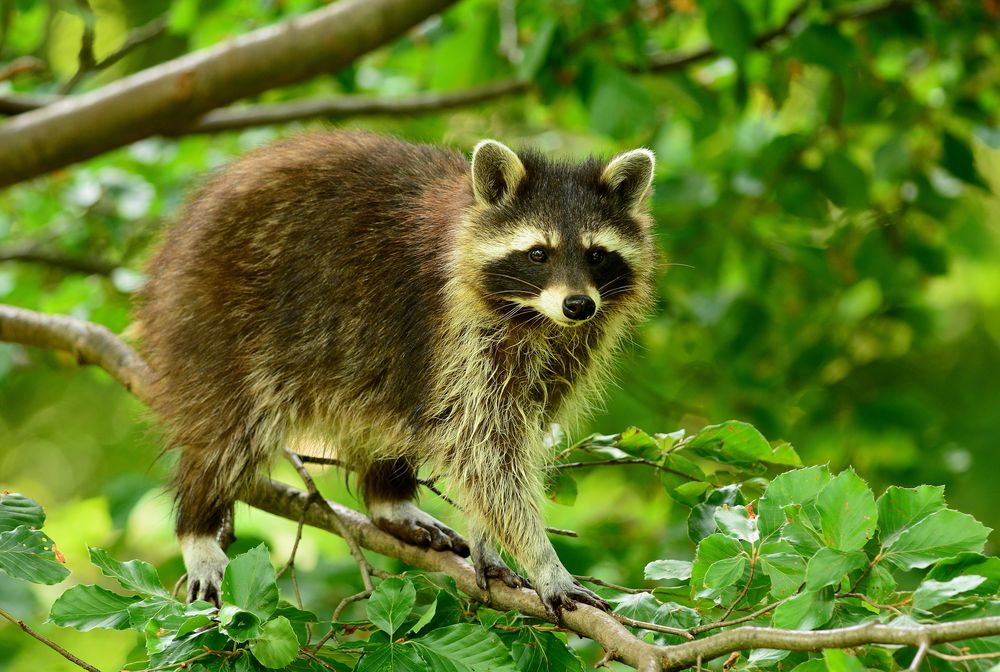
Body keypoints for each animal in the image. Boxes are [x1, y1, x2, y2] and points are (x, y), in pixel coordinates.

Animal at [139, 130, 656, 620]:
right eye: (538, 254)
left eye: (596, 254)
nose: (578, 305)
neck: (535, 316)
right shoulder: (459, 326)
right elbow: (482, 446)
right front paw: (544, 562)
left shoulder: (567, 352)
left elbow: (505, 439)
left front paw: (487, 535)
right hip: (217, 316)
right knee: (232, 430)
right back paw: (198, 524)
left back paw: (387, 498)